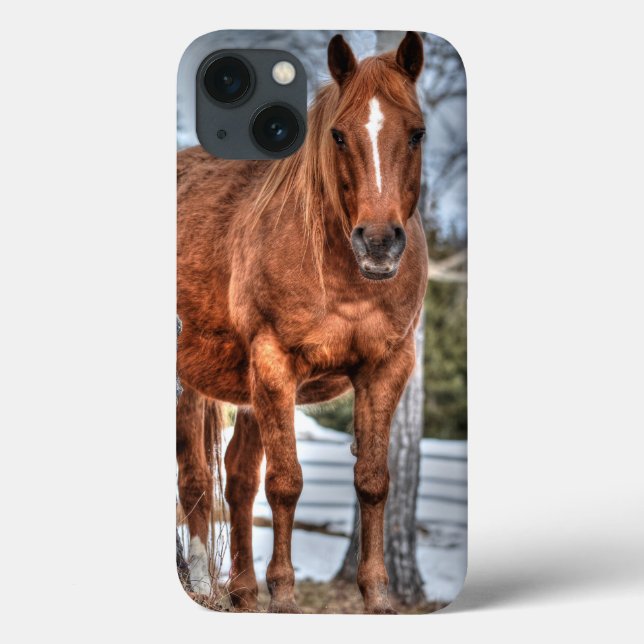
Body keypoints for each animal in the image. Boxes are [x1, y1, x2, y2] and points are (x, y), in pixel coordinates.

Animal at [176, 31, 429, 614]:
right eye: (338, 134)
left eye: (418, 133)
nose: (378, 243)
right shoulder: (275, 364)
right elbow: (285, 481)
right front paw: (286, 596)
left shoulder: (387, 367)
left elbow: (373, 480)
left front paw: (377, 596)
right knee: (195, 478)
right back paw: (202, 585)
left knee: (237, 478)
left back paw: (243, 591)